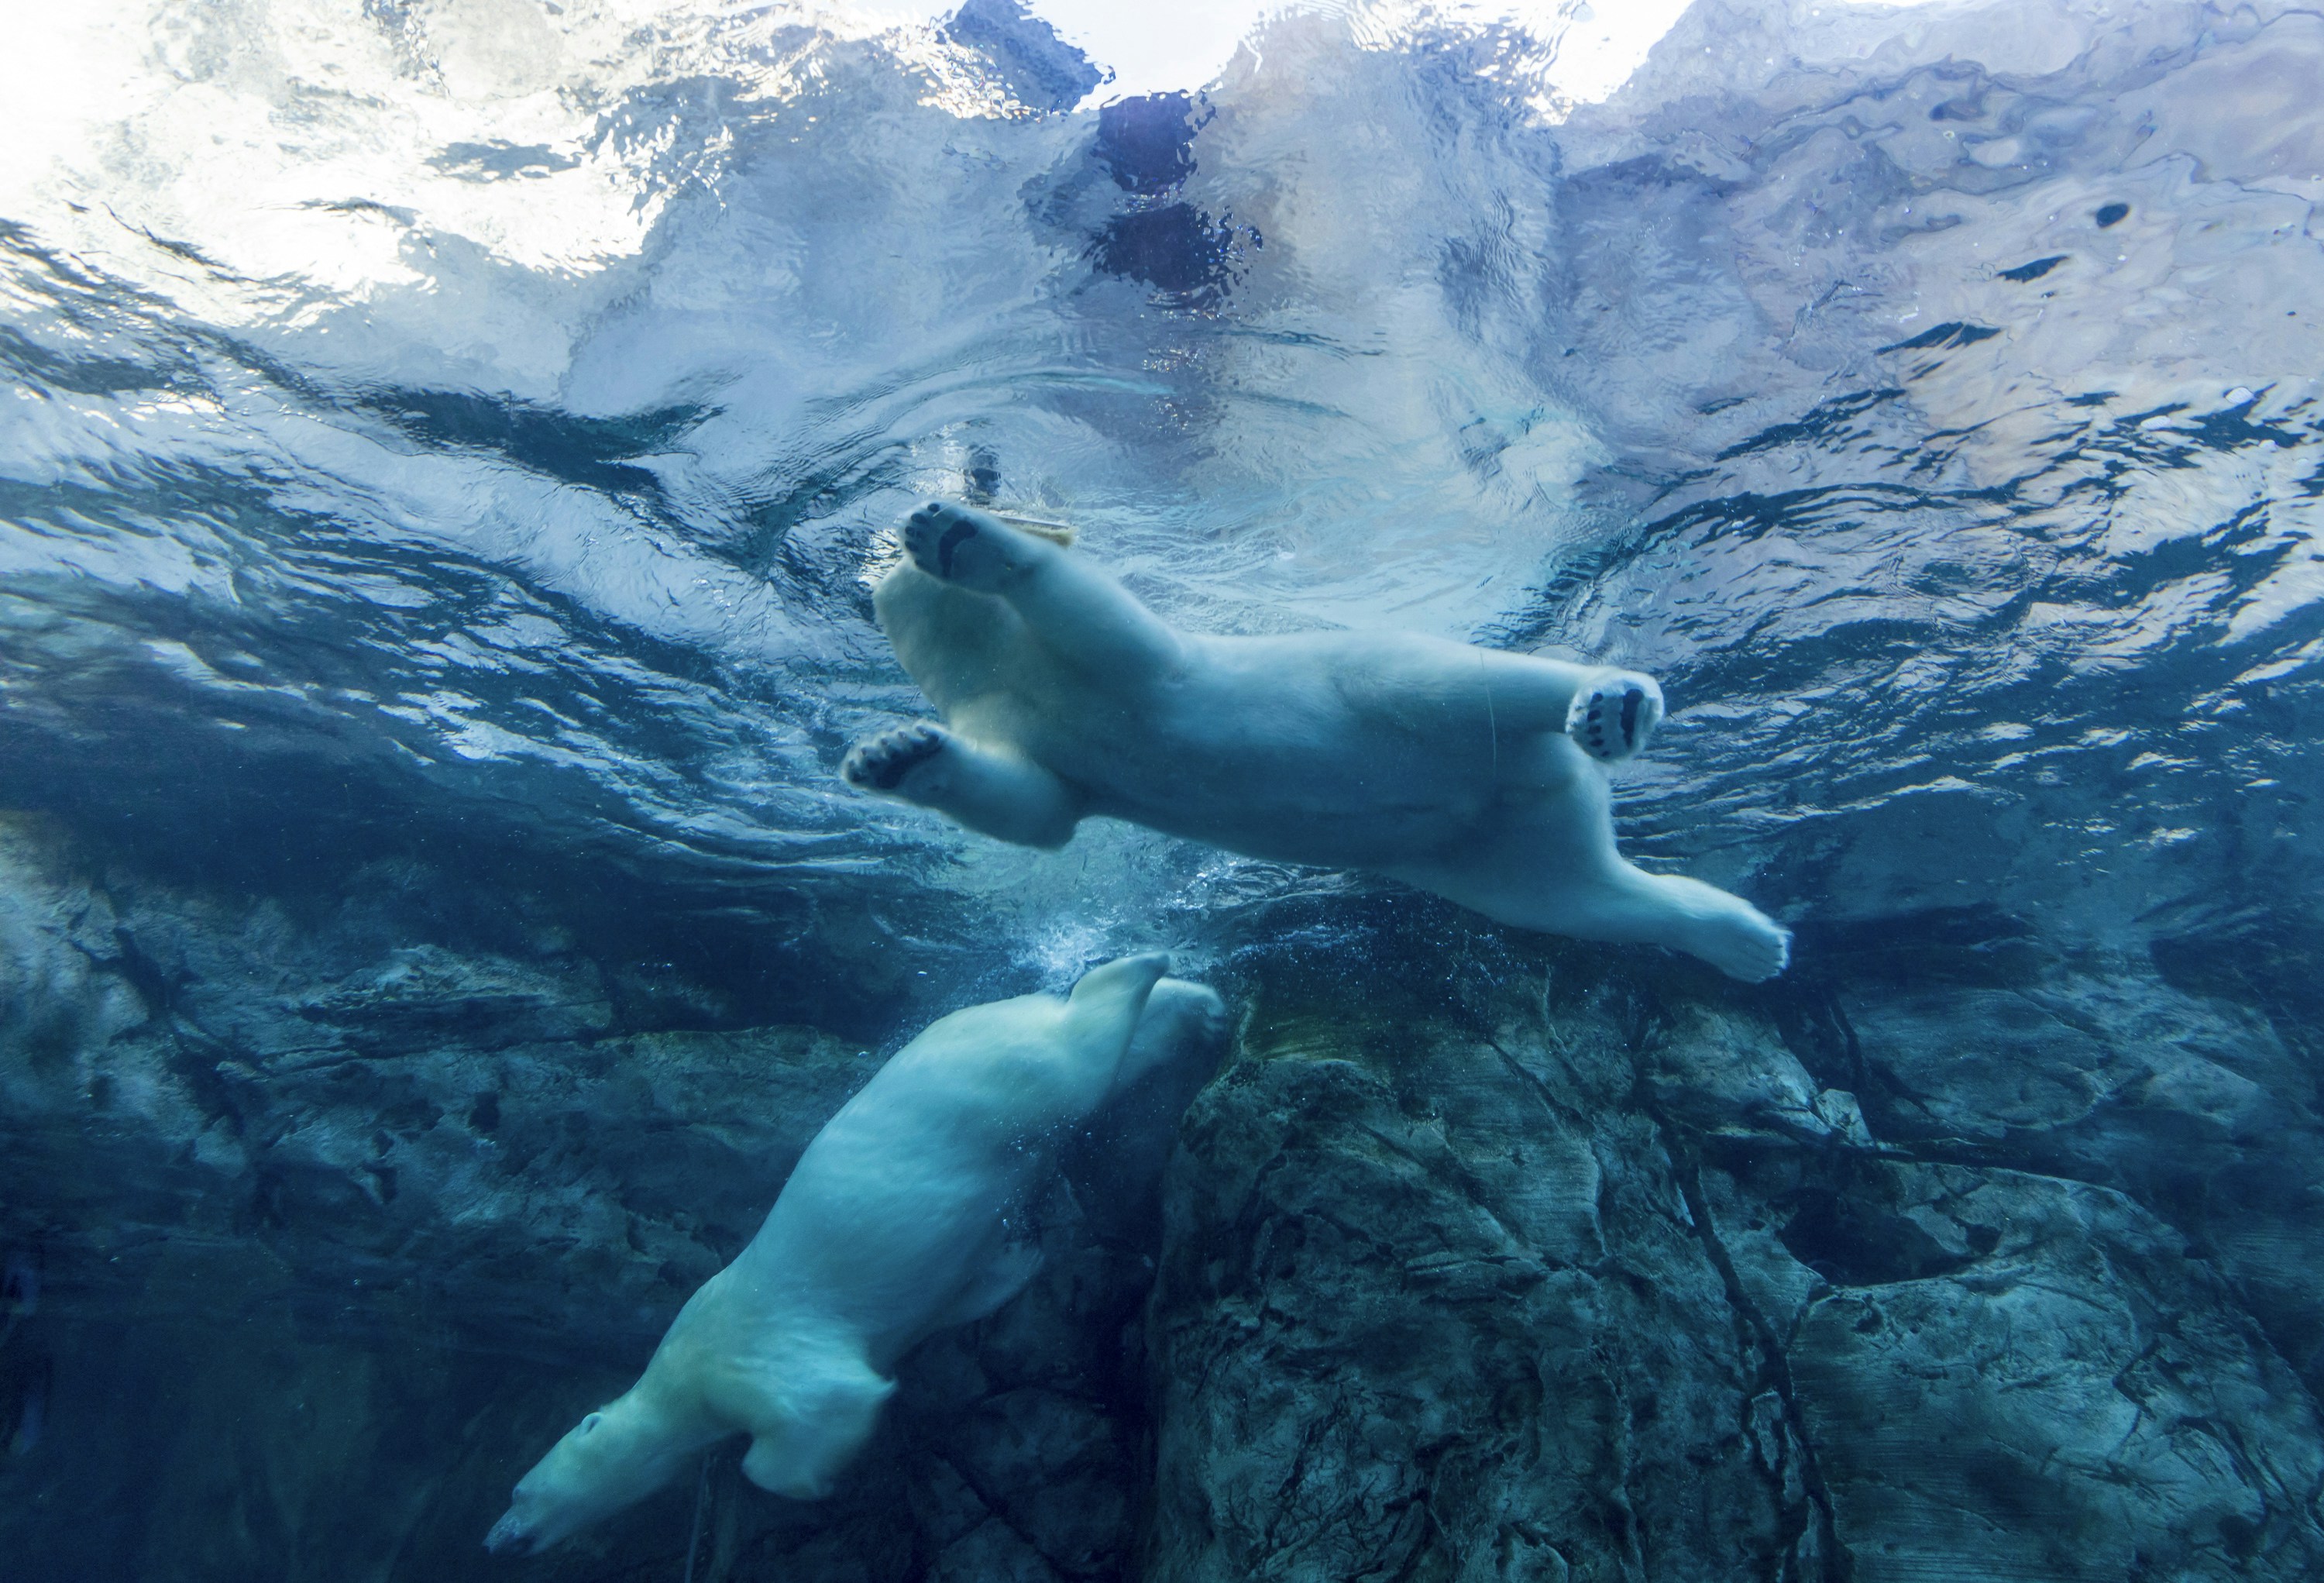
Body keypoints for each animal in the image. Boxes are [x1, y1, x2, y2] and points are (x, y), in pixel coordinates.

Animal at [484, 955, 1223, 1556]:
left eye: (519, 1491)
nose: (496, 1539)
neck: (677, 1374)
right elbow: (965, 1290)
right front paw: (1020, 1254)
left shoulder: (746, 1355)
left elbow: (824, 1403)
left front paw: (812, 1479)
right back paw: (1198, 1005)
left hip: (1003, 1080)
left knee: (1082, 1050)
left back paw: (1140, 968)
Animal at [843, 501, 1790, 981]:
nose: (882, 551)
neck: (1007, 670)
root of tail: (1549, 780)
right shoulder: (1022, 727)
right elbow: (1037, 808)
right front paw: (892, 755)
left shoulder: (1130, 667)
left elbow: (1097, 619)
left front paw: (959, 540)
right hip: (1492, 852)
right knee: (1578, 896)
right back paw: (1747, 941)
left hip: (1382, 681)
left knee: (1453, 681)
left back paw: (1613, 703)